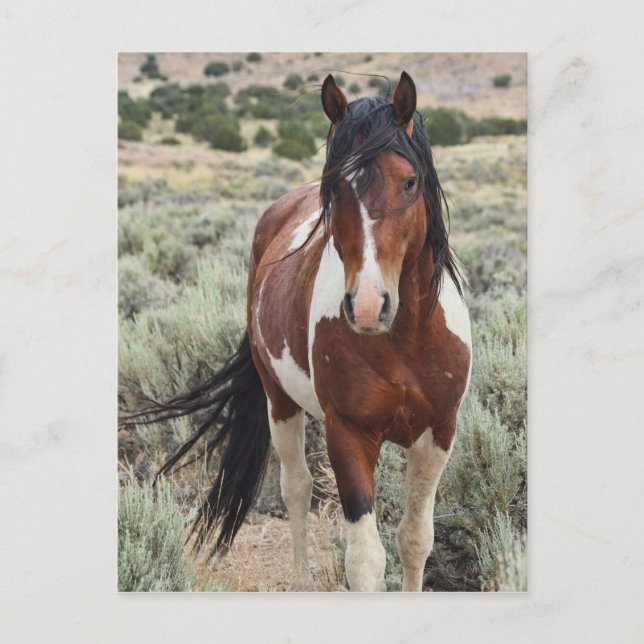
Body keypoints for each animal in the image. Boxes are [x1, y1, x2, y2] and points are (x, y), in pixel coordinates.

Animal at [128, 71, 472, 592]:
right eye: (335, 189)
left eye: (409, 182)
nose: (367, 306)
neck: (404, 340)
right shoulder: (347, 433)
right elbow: (364, 559)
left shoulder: (438, 434)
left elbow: (415, 540)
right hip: (280, 401)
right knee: (296, 488)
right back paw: (302, 578)